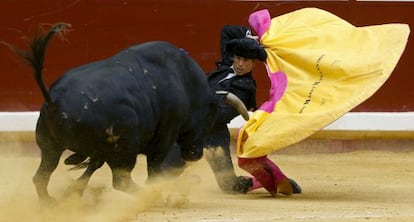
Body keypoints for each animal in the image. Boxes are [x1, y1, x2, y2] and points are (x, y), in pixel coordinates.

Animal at [8, 23, 249, 201]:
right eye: (208, 119)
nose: (194, 154)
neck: (186, 85)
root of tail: (54, 101)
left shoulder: (103, 149)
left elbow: (94, 165)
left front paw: (74, 190)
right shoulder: (163, 138)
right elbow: (153, 168)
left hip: (51, 148)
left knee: (41, 177)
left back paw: (51, 203)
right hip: (124, 150)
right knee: (121, 181)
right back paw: (153, 196)